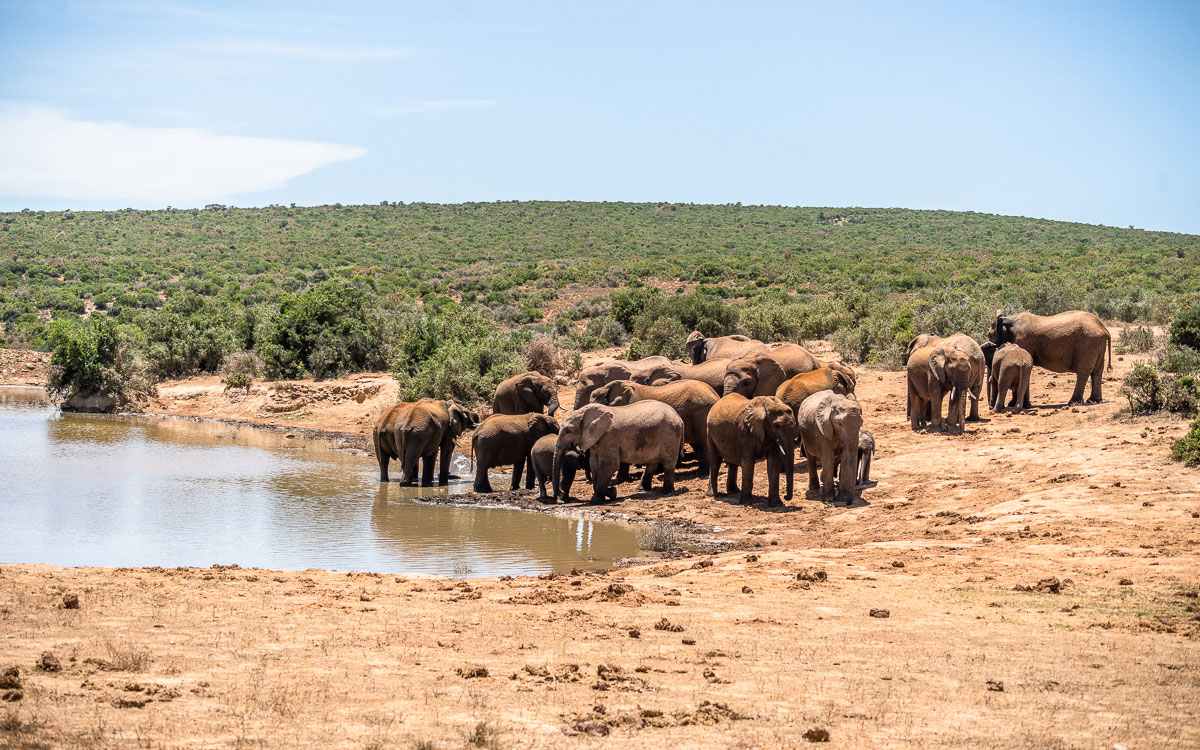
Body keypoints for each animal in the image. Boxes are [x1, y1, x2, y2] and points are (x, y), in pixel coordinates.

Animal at [553, 401, 684, 503]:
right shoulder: (596, 440)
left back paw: (666, 492)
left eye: (568, 431)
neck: (584, 413)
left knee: (668, 463)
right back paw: (641, 489)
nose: (560, 493)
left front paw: (608, 495)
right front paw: (605, 495)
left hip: (670, 435)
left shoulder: (609, 438)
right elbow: (594, 466)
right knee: (652, 463)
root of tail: (678, 417)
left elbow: (610, 465)